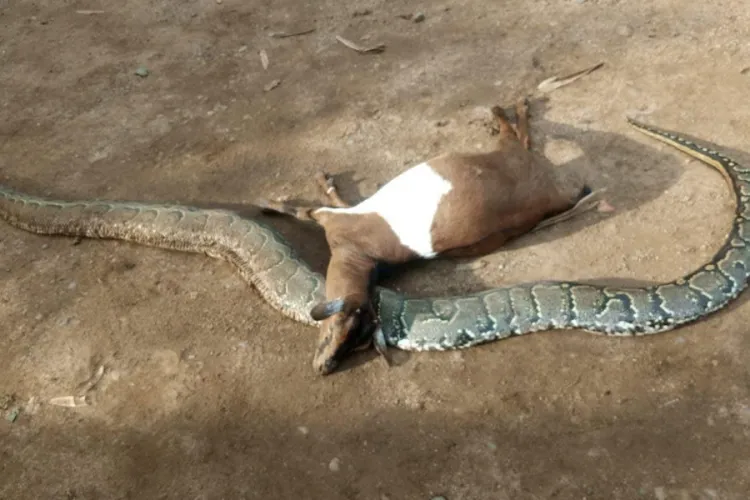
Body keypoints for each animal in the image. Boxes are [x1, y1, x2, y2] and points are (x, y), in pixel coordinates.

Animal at [258, 97, 597, 375]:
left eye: (348, 334)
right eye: (357, 341)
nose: (325, 367)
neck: (359, 257)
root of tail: (552, 195)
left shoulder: (332, 220)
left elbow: (301, 210)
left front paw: (269, 202)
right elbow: (335, 199)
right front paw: (322, 183)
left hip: (506, 155)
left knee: (516, 136)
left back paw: (504, 111)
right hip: (521, 165)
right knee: (525, 140)